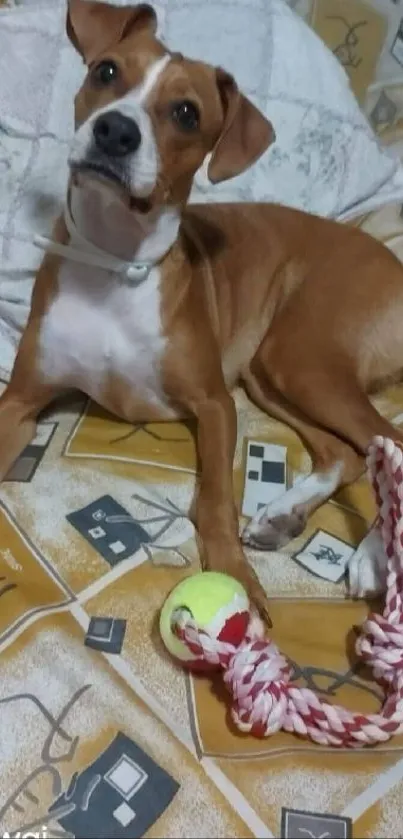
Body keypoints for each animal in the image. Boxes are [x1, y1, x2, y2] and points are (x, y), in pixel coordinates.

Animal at [1, 0, 402, 616]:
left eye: (186, 113)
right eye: (106, 72)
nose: (115, 130)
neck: (116, 263)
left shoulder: (215, 405)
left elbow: (213, 500)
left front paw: (235, 577)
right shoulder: (21, 399)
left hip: (301, 357)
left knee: (389, 443)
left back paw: (372, 556)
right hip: (270, 373)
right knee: (348, 452)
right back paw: (284, 515)